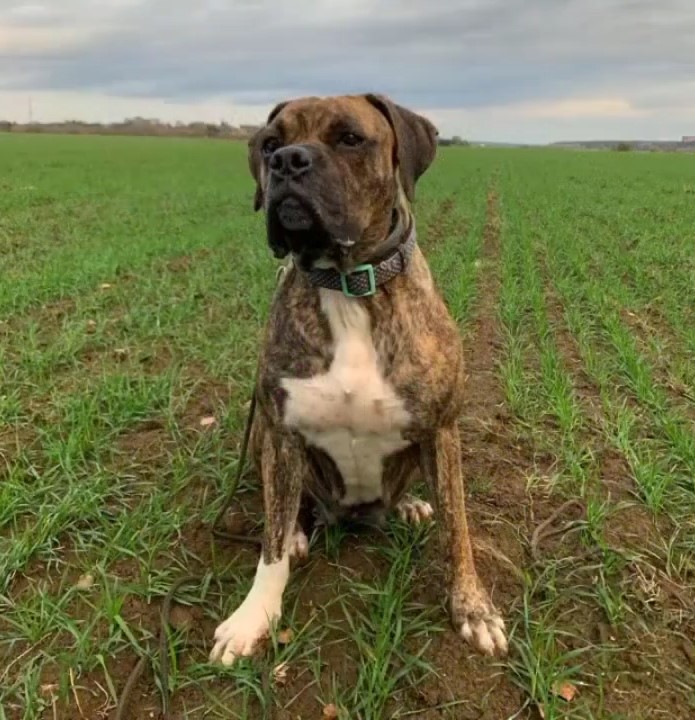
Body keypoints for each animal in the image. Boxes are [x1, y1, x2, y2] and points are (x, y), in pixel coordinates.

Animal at [209, 93, 508, 668]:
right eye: (271, 143)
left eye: (350, 138)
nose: (288, 162)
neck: (347, 284)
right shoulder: (282, 431)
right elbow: (270, 545)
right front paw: (254, 616)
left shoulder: (442, 430)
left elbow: (458, 530)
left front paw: (472, 607)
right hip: (263, 440)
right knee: (289, 505)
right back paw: (300, 530)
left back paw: (409, 505)